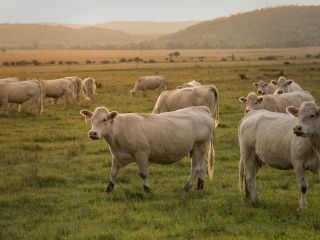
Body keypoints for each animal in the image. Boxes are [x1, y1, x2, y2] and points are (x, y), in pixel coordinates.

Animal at [80, 106, 215, 192]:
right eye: (91, 120)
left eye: (104, 119)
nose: (92, 133)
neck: (119, 131)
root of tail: (202, 109)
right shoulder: (116, 155)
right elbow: (113, 173)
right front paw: (109, 188)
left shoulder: (142, 153)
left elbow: (143, 173)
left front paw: (147, 189)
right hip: (199, 149)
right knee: (203, 166)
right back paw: (200, 186)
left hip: (199, 147)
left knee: (195, 168)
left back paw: (187, 187)